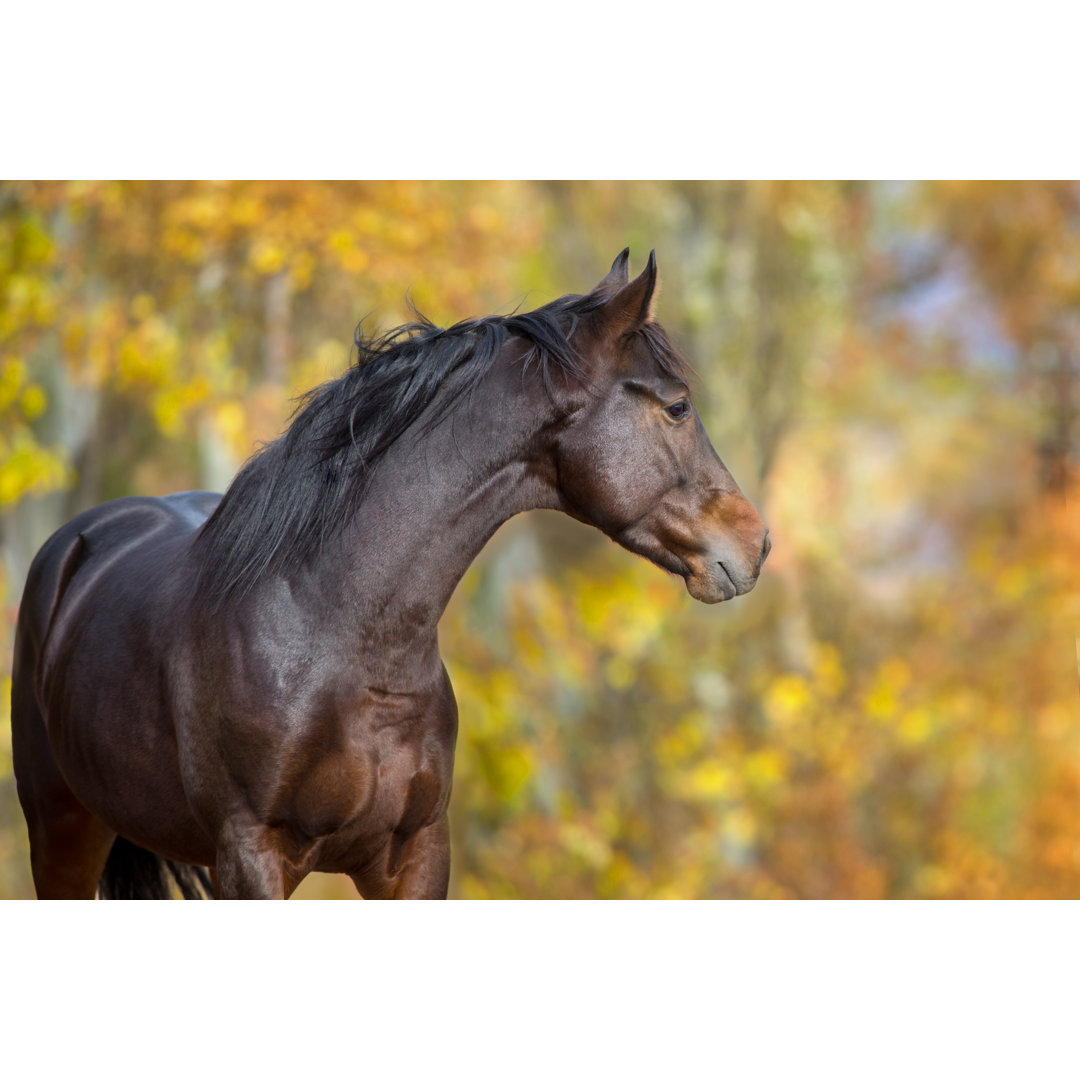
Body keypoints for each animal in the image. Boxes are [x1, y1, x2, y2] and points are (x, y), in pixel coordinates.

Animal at [10, 250, 770, 899]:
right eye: (677, 406)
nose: (756, 543)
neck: (340, 638)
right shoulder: (252, 856)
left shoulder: (414, 854)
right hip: (62, 833)